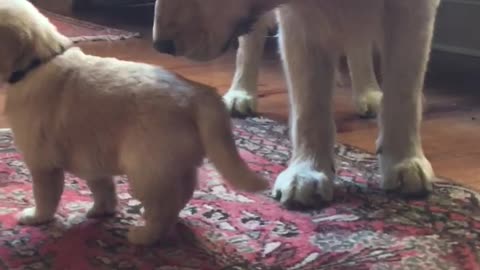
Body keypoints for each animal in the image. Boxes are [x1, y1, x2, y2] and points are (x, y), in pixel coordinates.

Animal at [0, 0, 266, 245]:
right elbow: (103, 187)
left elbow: (45, 196)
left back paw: (145, 236)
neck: (38, 61)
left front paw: (36, 217)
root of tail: (197, 93)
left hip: (147, 171)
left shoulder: (43, 163)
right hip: (172, 165)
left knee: (165, 207)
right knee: (184, 192)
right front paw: (101, 211)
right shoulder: (92, 157)